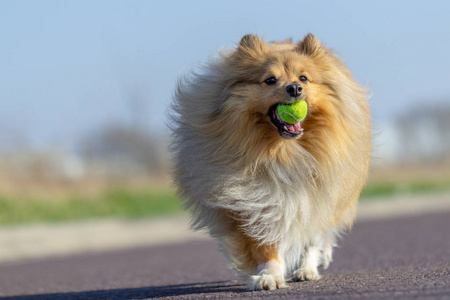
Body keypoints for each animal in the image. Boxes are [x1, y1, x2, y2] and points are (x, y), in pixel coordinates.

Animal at [169, 33, 370, 290]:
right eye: (270, 80)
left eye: (303, 78)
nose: (294, 88)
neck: (282, 154)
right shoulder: (254, 203)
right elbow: (265, 244)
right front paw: (269, 275)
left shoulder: (315, 195)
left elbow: (312, 236)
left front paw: (307, 266)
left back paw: (309, 267)